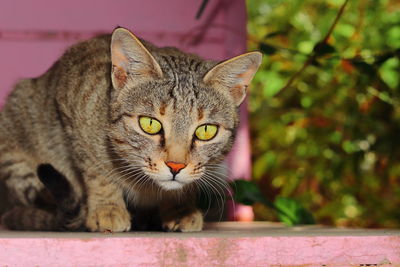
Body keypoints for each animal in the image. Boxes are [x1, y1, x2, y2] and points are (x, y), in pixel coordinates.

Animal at [0, 27, 262, 232]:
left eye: (206, 131)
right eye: (150, 124)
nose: (175, 166)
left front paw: (180, 208)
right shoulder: (72, 104)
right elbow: (96, 169)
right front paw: (107, 207)